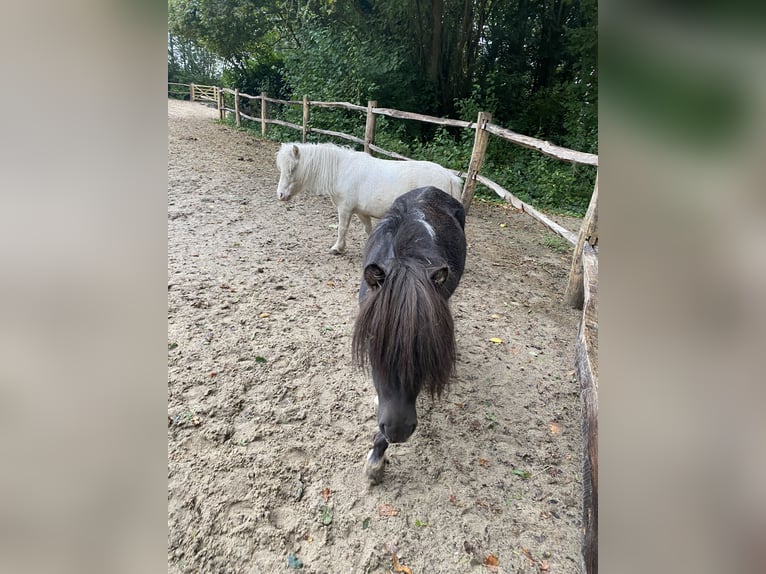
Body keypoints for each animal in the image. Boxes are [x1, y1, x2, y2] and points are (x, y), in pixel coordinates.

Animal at [280, 142, 464, 254]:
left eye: (292, 169)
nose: (280, 195)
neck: (341, 170)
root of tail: (449, 176)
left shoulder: (345, 209)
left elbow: (342, 229)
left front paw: (337, 248)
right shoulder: (361, 212)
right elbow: (369, 230)